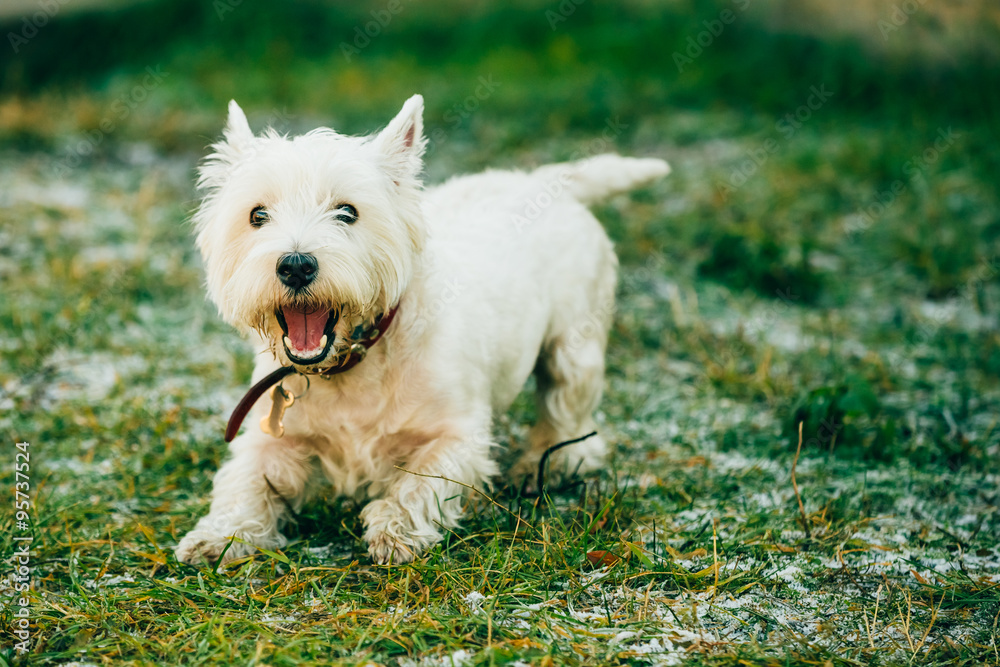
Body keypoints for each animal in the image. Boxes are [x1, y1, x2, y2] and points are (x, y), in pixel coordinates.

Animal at [176, 95, 668, 564]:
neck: (352, 364)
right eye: (257, 215)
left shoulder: (458, 435)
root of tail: (542, 183)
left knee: (568, 410)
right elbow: (243, 484)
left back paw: (545, 463)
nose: (296, 266)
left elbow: (421, 481)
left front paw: (395, 530)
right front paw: (217, 536)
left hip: (573, 345)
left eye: (347, 212)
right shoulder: (269, 438)